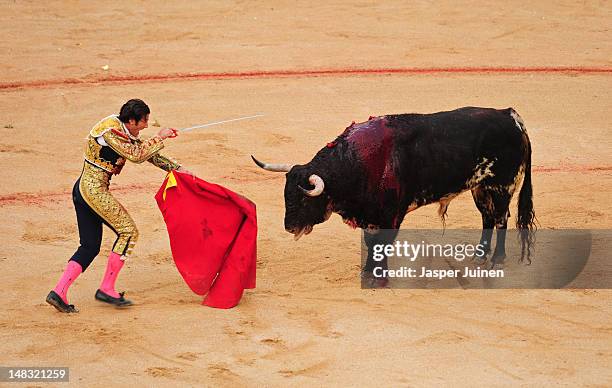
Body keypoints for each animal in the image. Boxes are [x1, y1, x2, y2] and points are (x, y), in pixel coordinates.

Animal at [253, 106, 536, 284]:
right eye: (286, 195)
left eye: (303, 198)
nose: (289, 227)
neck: (359, 161)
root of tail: (510, 116)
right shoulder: (370, 214)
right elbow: (371, 243)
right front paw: (368, 272)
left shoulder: (391, 214)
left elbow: (382, 243)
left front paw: (379, 276)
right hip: (480, 187)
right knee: (487, 218)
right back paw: (479, 256)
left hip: (502, 186)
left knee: (501, 219)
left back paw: (497, 260)